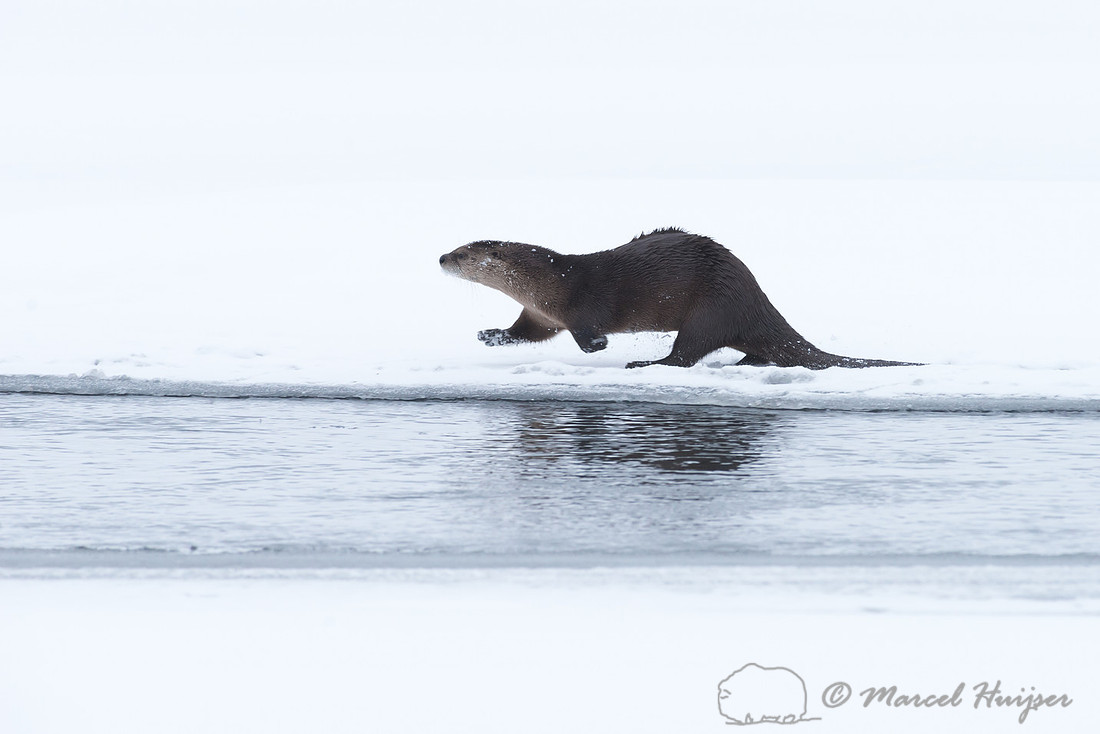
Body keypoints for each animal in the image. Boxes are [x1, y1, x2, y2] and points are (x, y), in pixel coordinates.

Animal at [439, 228, 918, 369]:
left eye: (463, 255)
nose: (441, 257)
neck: (551, 286)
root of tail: (756, 298)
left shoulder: (580, 305)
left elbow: (591, 333)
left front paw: (600, 347)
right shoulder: (540, 316)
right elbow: (524, 334)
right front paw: (489, 335)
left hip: (711, 309)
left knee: (686, 354)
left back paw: (644, 363)